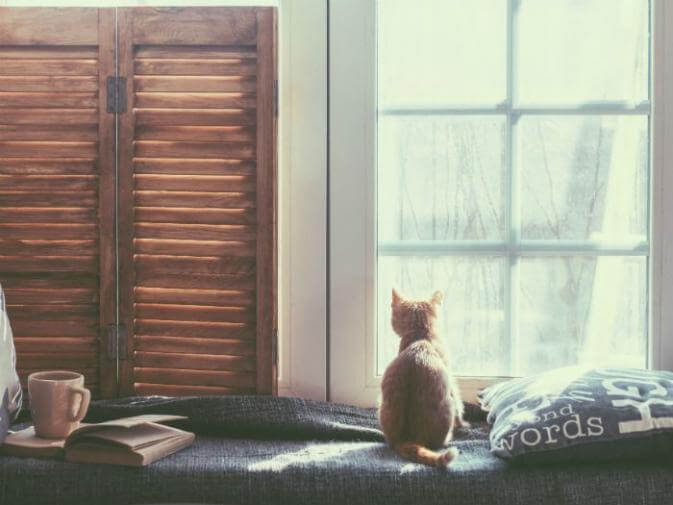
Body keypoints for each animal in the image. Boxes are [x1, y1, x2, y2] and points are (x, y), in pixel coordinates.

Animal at [378, 286, 468, 466]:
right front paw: (463, 424)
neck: (421, 333)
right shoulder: (451, 379)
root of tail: (407, 439)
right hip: (447, 406)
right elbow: (459, 405)